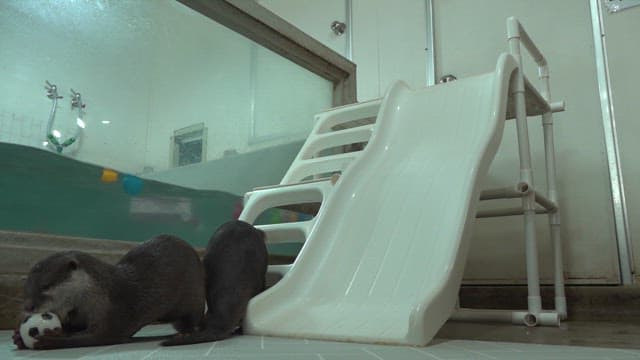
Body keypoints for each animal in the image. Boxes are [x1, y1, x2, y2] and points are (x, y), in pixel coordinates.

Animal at [15, 233, 205, 348]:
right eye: (26, 287)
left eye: (45, 285)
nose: (27, 307)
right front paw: (18, 336)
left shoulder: (110, 311)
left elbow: (98, 335)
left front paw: (52, 338)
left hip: (193, 297)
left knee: (193, 318)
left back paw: (186, 334)